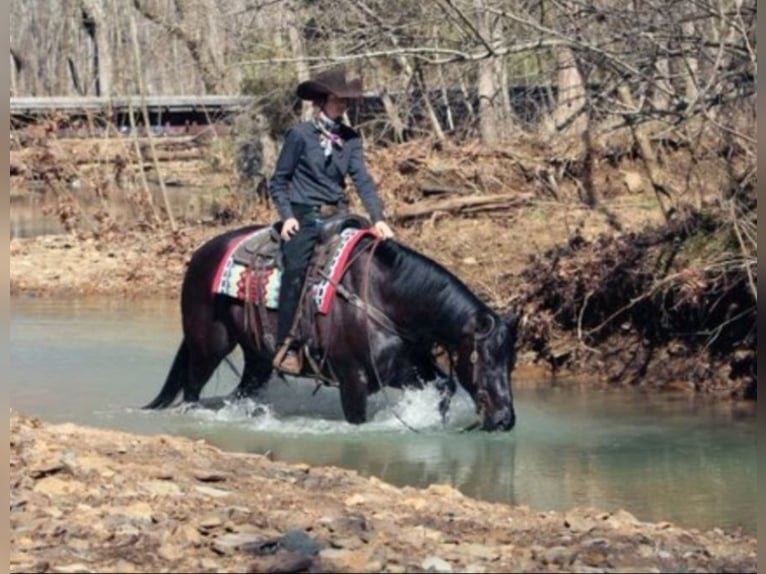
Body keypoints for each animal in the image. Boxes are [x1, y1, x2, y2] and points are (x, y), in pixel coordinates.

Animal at [143, 221, 520, 431]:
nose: (504, 419)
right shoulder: (353, 379)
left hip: (258, 359)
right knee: (192, 389)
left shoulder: (405, 369)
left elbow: (444, 386)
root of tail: (199, 255)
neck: (382, 296)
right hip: (208, 347)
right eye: (484, 358)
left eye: (511, 362)